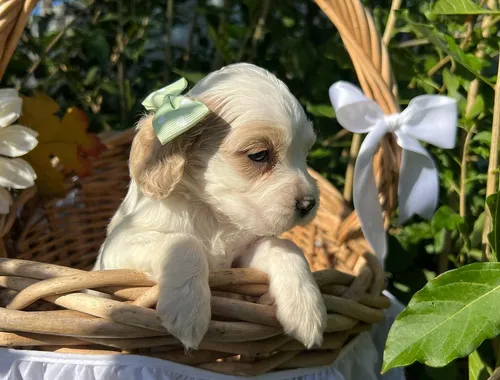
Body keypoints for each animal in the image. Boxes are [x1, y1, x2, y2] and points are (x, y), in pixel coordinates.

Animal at [94, 62, 328, 350]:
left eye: (305, 154)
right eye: (259, 155)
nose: (309, 203)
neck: (212, 214)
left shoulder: (239, 259)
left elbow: (285, 246)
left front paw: (306, 308)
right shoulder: (116, 249)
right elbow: (183, 241)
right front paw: (188, 311)